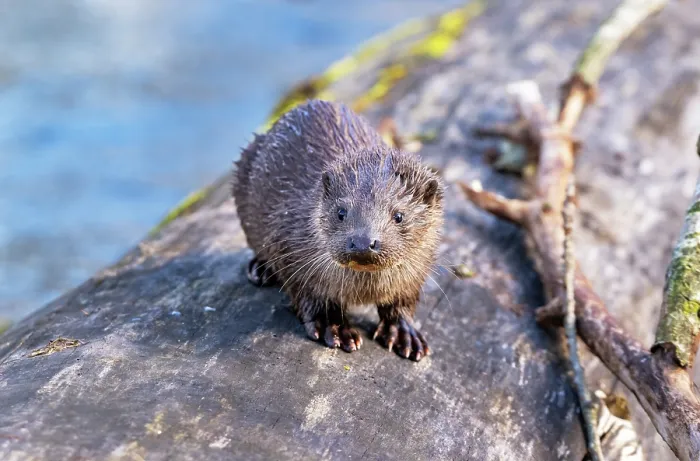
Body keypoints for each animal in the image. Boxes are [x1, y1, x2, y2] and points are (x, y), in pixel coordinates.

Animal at [232, 100, 444, 361]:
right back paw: (261, 269)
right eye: (341, 212)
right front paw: (333, 326)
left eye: (399, 216)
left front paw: (404, 333)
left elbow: (402, 300)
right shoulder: (289, 246)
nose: (363, 242)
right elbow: (311, 295)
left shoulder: (417, 270)